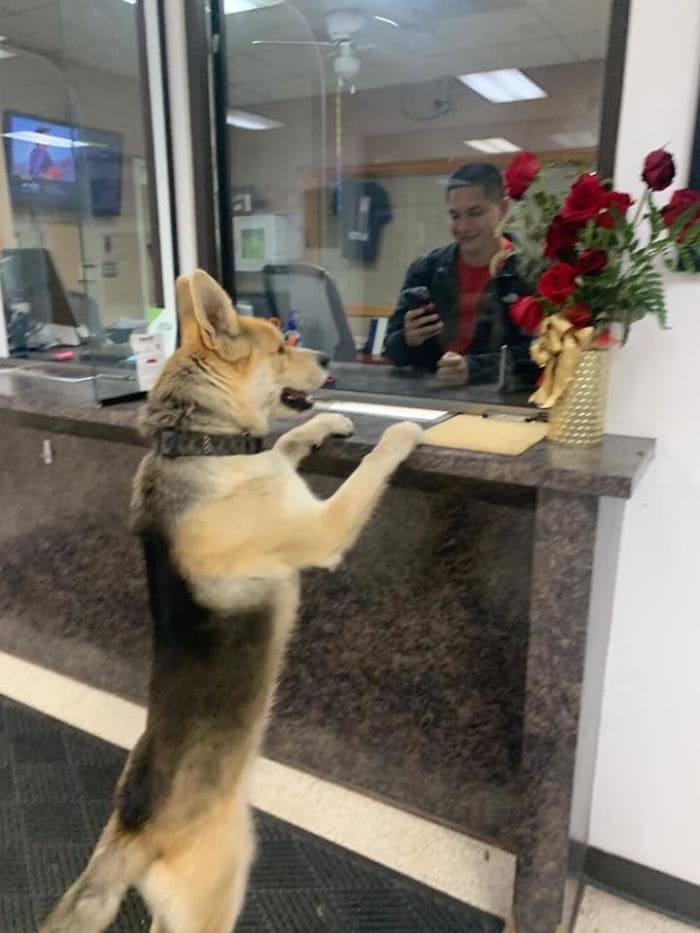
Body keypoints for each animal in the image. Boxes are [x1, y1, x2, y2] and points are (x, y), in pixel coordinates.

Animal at [41, 266, 424, 928]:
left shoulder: (273, 466)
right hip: (224, 879)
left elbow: (286, 442)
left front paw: (327, 425)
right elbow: (366, 475)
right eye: (280, 347)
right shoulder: (323, 528)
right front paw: (398, 434)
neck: (196, 444)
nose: (329, 358)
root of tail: (133, 829)